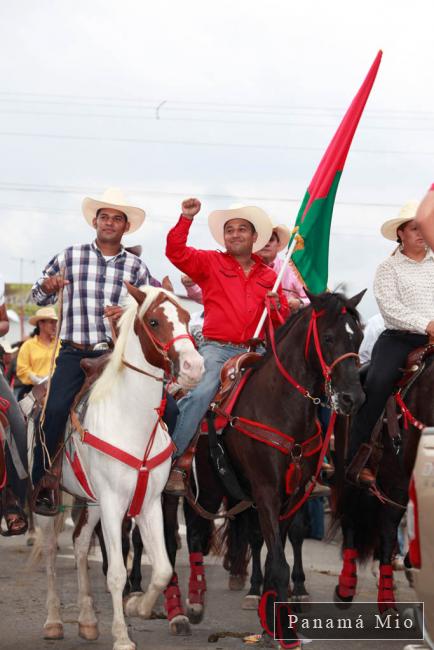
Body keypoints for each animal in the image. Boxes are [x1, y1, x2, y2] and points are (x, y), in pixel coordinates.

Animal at [36, 286, 203, 648]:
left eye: (186, 316)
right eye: (154, 321)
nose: (194, 367)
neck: (131, 419)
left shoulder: (149, 502)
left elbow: (163, 568)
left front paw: (139, 606)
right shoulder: (114, 504)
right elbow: (115, 573)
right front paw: (123, 637)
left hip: (92, 502)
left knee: (80, 545)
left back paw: (87, 621)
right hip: (50, 502)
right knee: (52, 554)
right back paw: (53, 621)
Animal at [161, 292, 364, 644]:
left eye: (360, 337)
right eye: (328, 337)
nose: (354, 397)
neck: (281, 408)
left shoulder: (291, 496)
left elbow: (275, 556)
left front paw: (271, 622)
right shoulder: (266, 492)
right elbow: (278, 563)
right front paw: (285, 633)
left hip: (210, 489)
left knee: (197, 535)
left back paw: (197, 603)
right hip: (172, 493)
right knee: (171, 540)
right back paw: (175, 613)